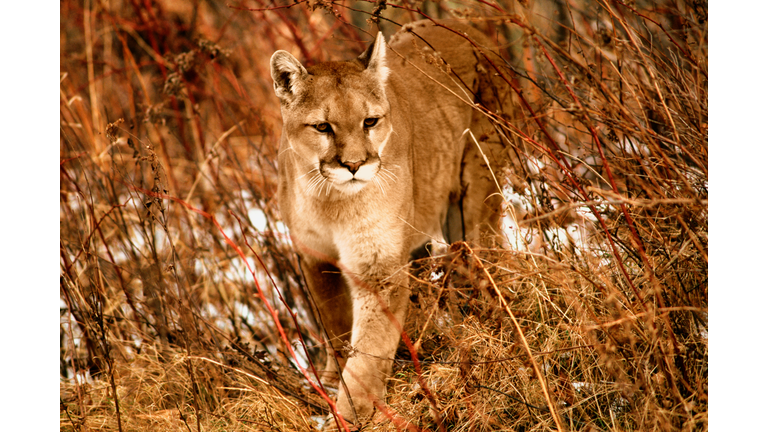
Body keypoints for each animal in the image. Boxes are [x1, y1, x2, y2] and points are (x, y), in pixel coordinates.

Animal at [272, 19, 516, 426]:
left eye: (370, 121)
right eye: (322, 127)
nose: (354, 165)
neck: (331, 203)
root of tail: (471, 27)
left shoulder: (378, 269)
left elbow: (368, 351)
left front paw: (350, 415)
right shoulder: (316, 257)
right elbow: (335, 328)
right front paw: (331, 382)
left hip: (474, 203)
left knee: (488, 261)